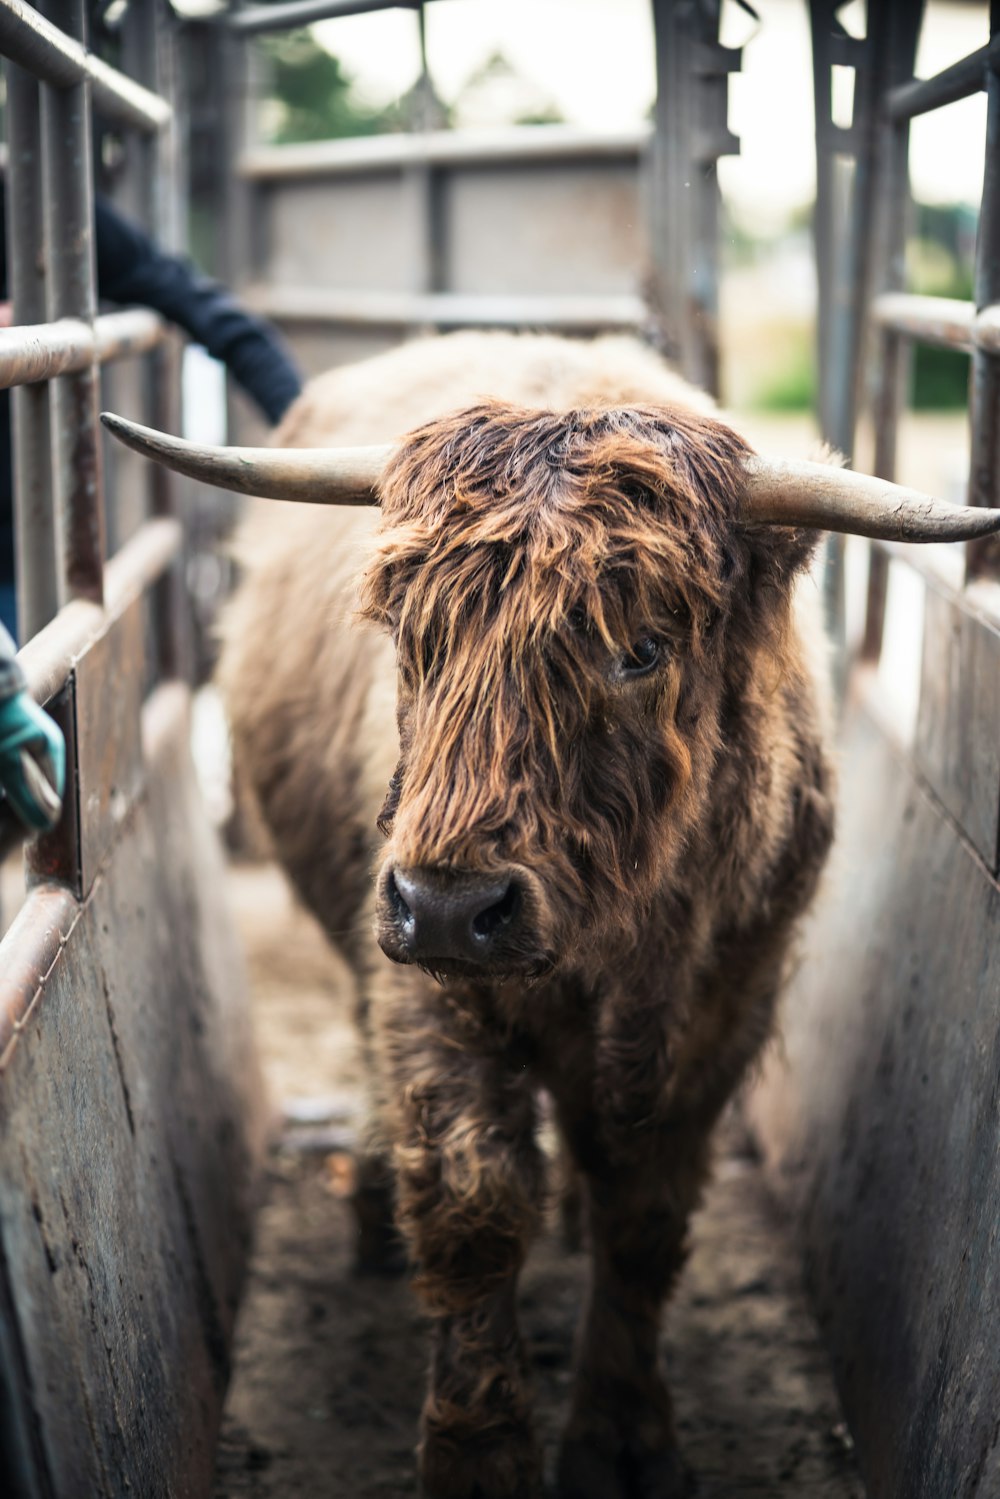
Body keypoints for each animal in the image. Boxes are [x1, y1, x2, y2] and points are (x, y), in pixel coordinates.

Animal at [103, 331, 1000, 1499]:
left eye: (643, 647)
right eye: (410, 632)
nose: (449, 905)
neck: (616, 945)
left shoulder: (725, 1008)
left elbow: (644, 1214)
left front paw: (625, 1438)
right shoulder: (431, 994)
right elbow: (473, 1198)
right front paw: (478, 1451)